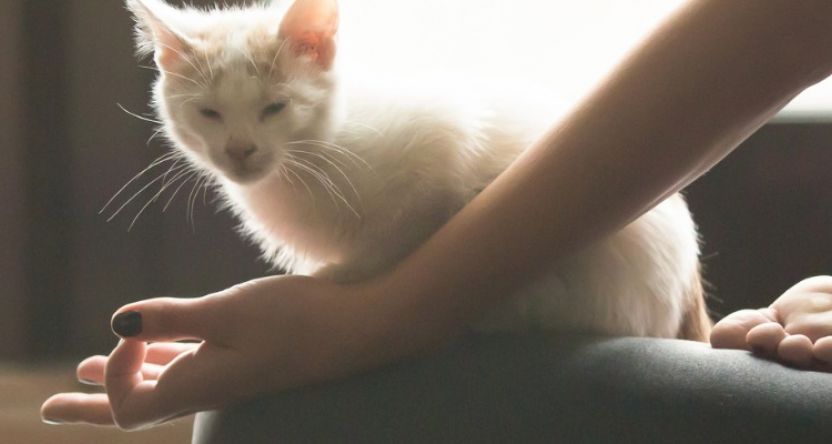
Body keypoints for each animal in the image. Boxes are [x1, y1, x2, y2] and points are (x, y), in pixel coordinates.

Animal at [127, 0, 712, 340]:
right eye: (209, 113)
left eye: (275, 107)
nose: (240, 150)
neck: (317, 155)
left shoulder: (447, 140)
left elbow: (412, 228)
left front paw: (341, 277)